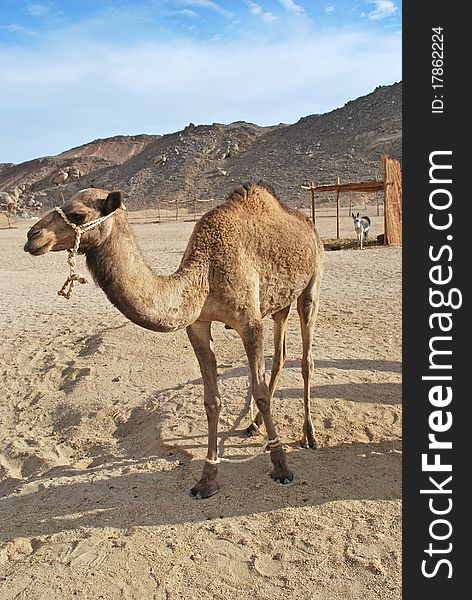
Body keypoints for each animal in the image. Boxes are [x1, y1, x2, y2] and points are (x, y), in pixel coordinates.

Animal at [24, 184, 322, 502]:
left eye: (78, 214)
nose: (32, 236)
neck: (206, 272)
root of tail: (305, 222)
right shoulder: (197, 325)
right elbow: (211, 400)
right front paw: (207, 480)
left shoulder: (250, 323)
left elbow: (260, 392)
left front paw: (281, 467)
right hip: (280, 302)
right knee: (280, 356)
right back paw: (253, 426)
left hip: (312, 284)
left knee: (306, 359)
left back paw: (309, 435)